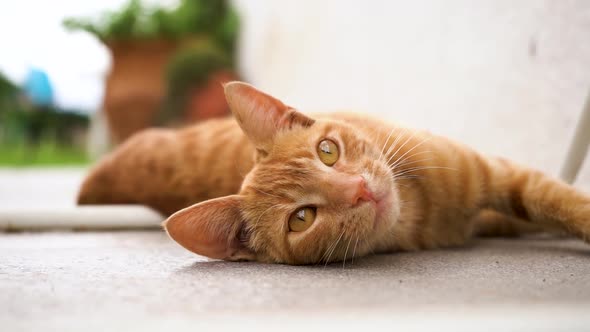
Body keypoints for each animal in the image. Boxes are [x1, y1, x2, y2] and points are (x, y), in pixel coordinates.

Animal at [78, 81, 590, 264]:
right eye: (301, 219)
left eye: (327, 151)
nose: (360, 189)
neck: (423, 214)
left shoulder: (499, 174)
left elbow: (555, 198)